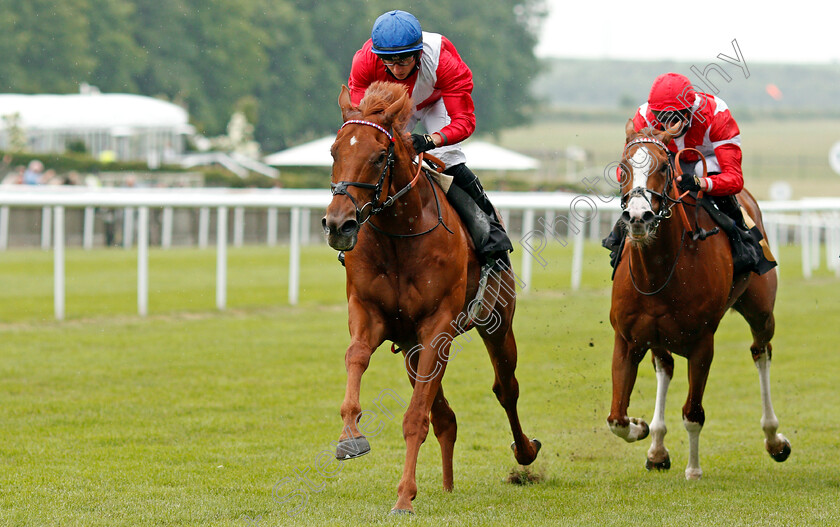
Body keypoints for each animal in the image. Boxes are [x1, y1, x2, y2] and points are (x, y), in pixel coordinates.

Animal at [318, 82, 540, 516]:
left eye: (379, 156)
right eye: (334, 151)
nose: (338, 225)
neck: (399, 233)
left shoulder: (438, 326)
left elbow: (415, 418)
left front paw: (404, 496)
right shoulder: (370, 313)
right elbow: (356, 356)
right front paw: (350, 435)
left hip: (496, 323)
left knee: (506, 388)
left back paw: (525, 453)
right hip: (411, 348)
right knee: (446, 416)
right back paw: (448, 484)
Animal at [608, 121, 792, 480]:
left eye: (663, 168)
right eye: (623, 167)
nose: (638, 216)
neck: (659, 271)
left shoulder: (702, 342)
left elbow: (693, 413)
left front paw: (693, 469)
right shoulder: (626, 339)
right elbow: (616, 420)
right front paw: (641, 427)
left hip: (761, 311)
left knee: (761, 351)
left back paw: (774, 439)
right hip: (657, 338)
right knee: (665, 367)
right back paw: (657, 449)